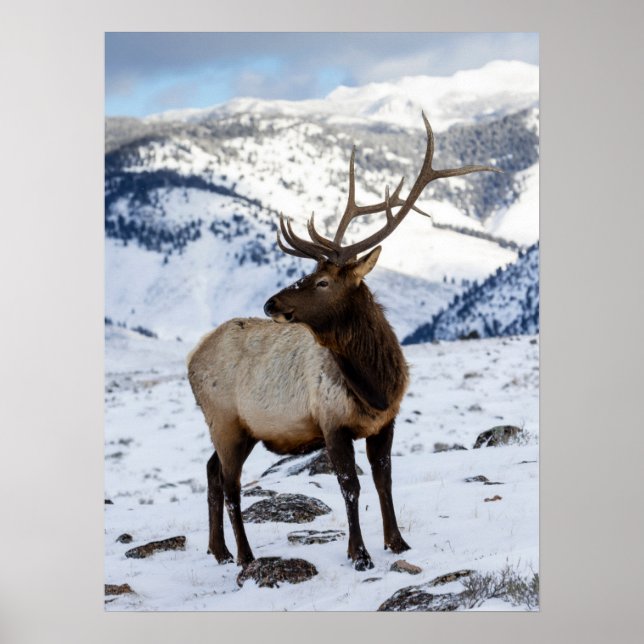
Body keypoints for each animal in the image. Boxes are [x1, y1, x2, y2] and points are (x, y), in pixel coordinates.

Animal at [187, 113, 500, 571]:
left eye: (321, 281)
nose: (270, 302)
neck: (375, 384)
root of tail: (191, 357)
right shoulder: (331, 422)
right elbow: (349, 485)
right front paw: (360, 553)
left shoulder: (385, 421)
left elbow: (384, 479)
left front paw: (397, 542)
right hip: (225, 420)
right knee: (230, 485)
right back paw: (246, 556)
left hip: (236, 429)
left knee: (211, 473)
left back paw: (220, 550)